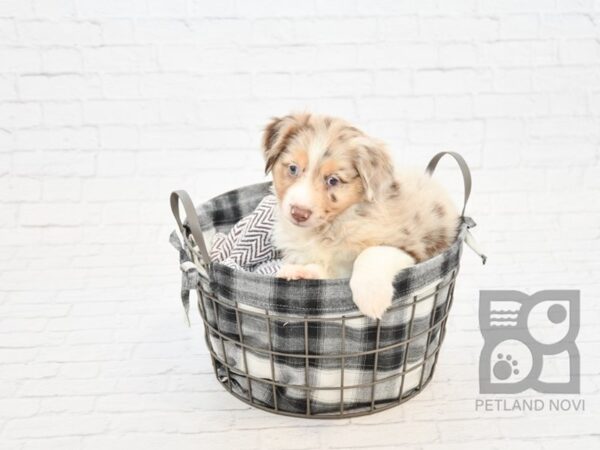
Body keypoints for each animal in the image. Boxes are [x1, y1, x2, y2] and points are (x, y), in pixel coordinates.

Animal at [264, 113, 460, 316]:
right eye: (293, 168)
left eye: (333, 180)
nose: (299, 213)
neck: (330, 227)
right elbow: (327, 271)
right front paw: (300, 272)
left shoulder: (410, 246)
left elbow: (370, 253)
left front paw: (371, 296)